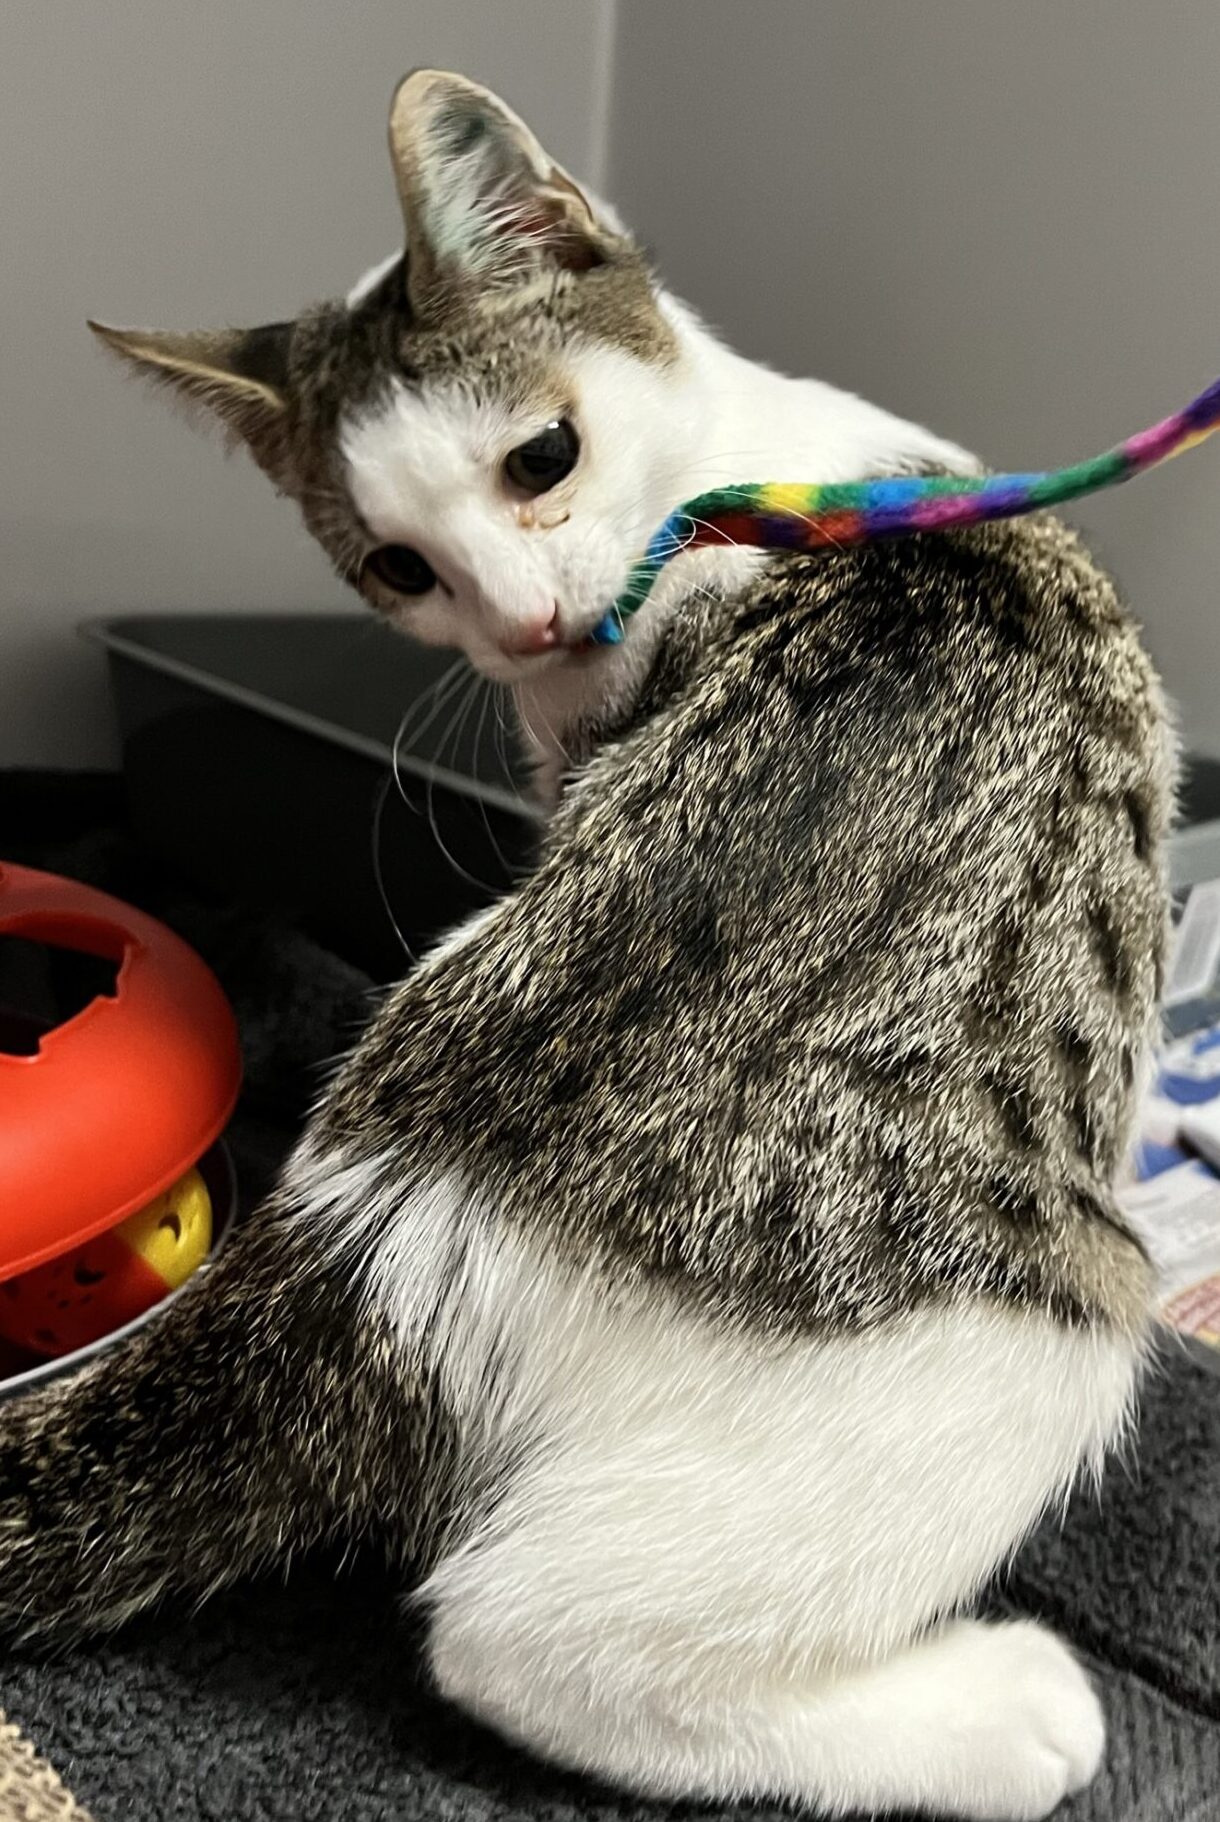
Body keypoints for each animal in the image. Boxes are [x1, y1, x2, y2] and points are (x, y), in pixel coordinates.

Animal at [5, 69, 1173, 1820]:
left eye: (539, 456)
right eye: (395, 566)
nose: (524, 627)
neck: (740, 477)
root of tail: (372, 1251)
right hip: (1046, 1316)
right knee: (523, 1632)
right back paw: (1004, 1713)